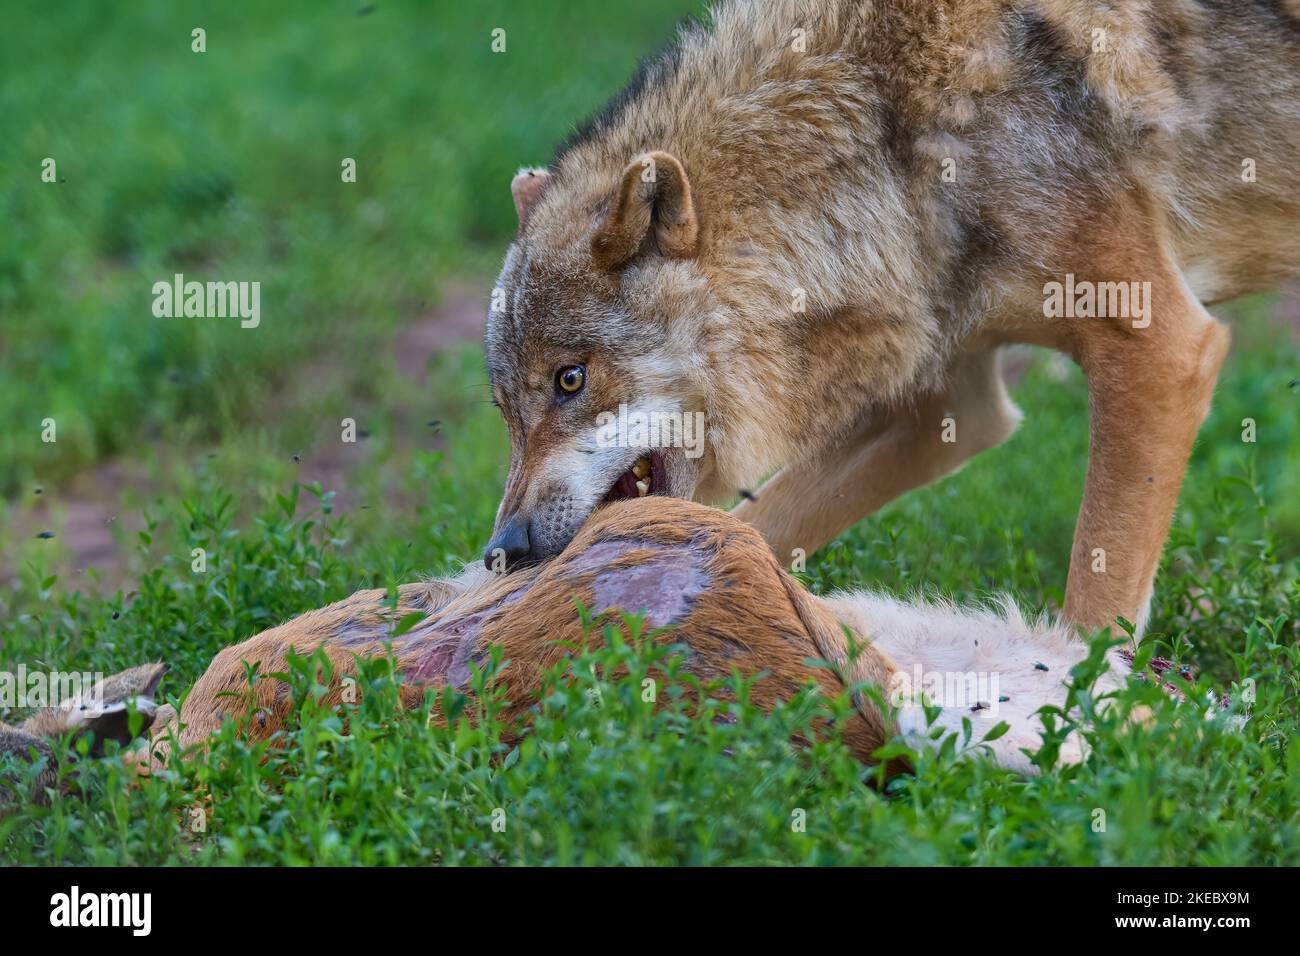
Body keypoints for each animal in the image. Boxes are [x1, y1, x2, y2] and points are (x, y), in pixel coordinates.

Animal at [483, 0, 1300, 636]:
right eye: (507, 412)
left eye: (569, 379)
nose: (503, 550)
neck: (891, 127)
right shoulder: (946, 405)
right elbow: (751, 527)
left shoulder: (1162, 349)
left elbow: (1097, 597)